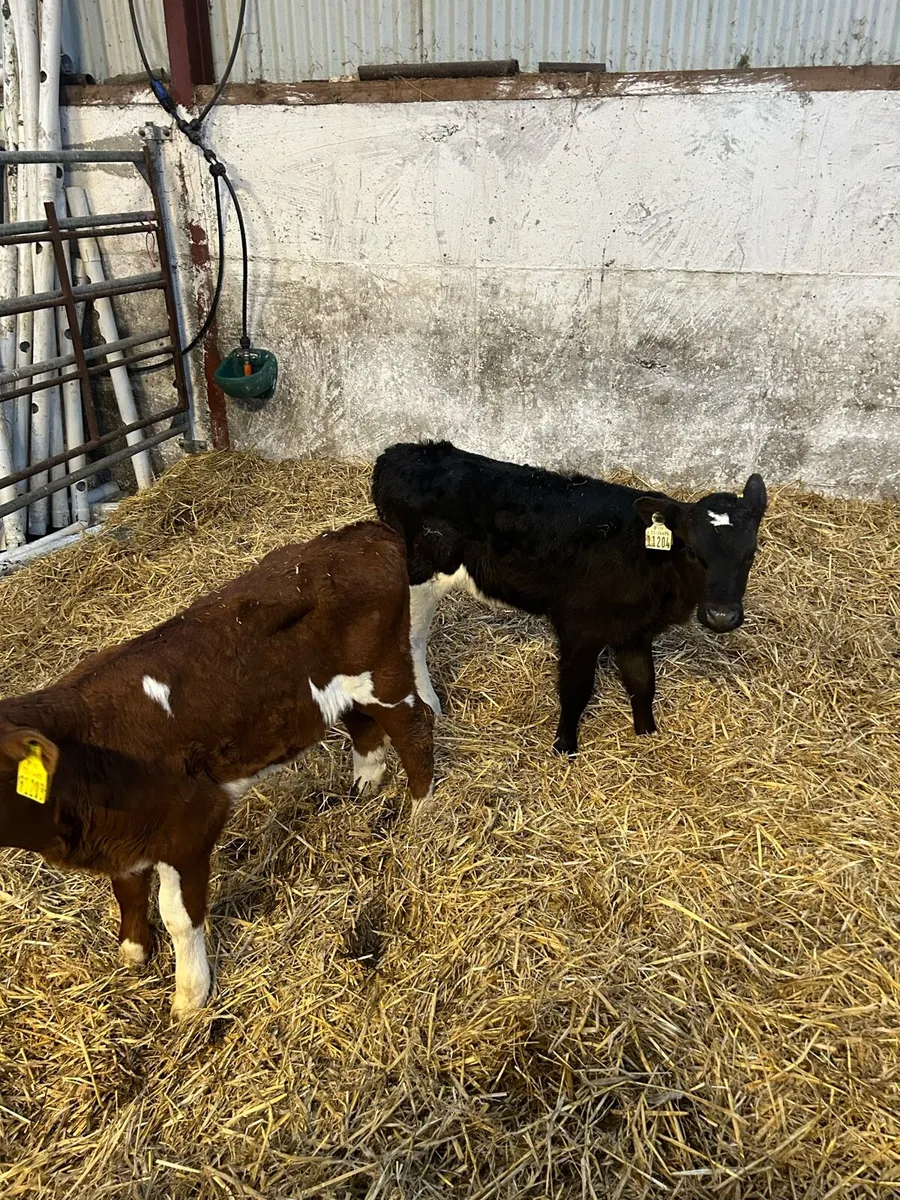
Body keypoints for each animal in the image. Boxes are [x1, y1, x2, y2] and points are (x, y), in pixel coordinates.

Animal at [0, 520, 434, 1017]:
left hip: (385, 675)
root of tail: (362, 533)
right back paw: (364, 785)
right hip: (338, 689)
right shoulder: (125, 834)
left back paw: (421, 814)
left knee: (416, 728)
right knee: (362, 725)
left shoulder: (190, 824)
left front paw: (190, 997)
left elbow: (178, 915)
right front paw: (134, 952)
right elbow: (127, 889)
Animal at [372, 441, 767, 755]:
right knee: (412, 640)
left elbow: (642, 683)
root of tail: (400, 453)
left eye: (750, 554)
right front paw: (564, 747)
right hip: (420, 574)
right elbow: (576, 689)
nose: (721, 615)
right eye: (694, 553)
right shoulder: (579, 627)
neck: (642, 556)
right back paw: (429, 706)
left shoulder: (635, 631)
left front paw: (647, 734)